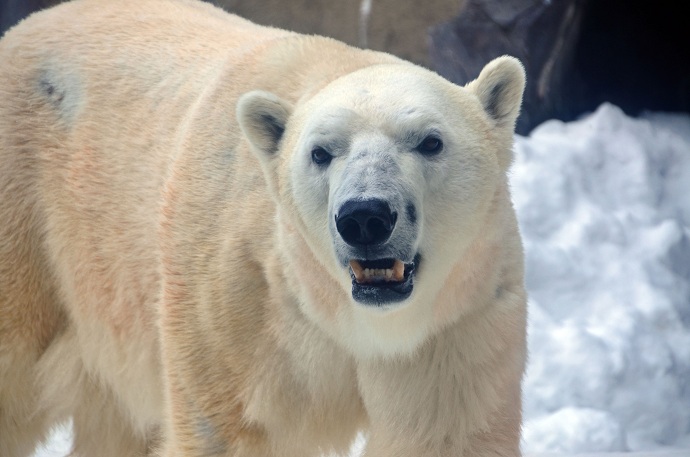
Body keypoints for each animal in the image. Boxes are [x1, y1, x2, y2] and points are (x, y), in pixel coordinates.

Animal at [0, 0, 524, 456]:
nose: (365, 216)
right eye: (320, 152)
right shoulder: (239, 306)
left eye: (431, 141)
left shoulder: (455, 322)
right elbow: (227, 430)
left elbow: (446, 436)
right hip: (34, 227)